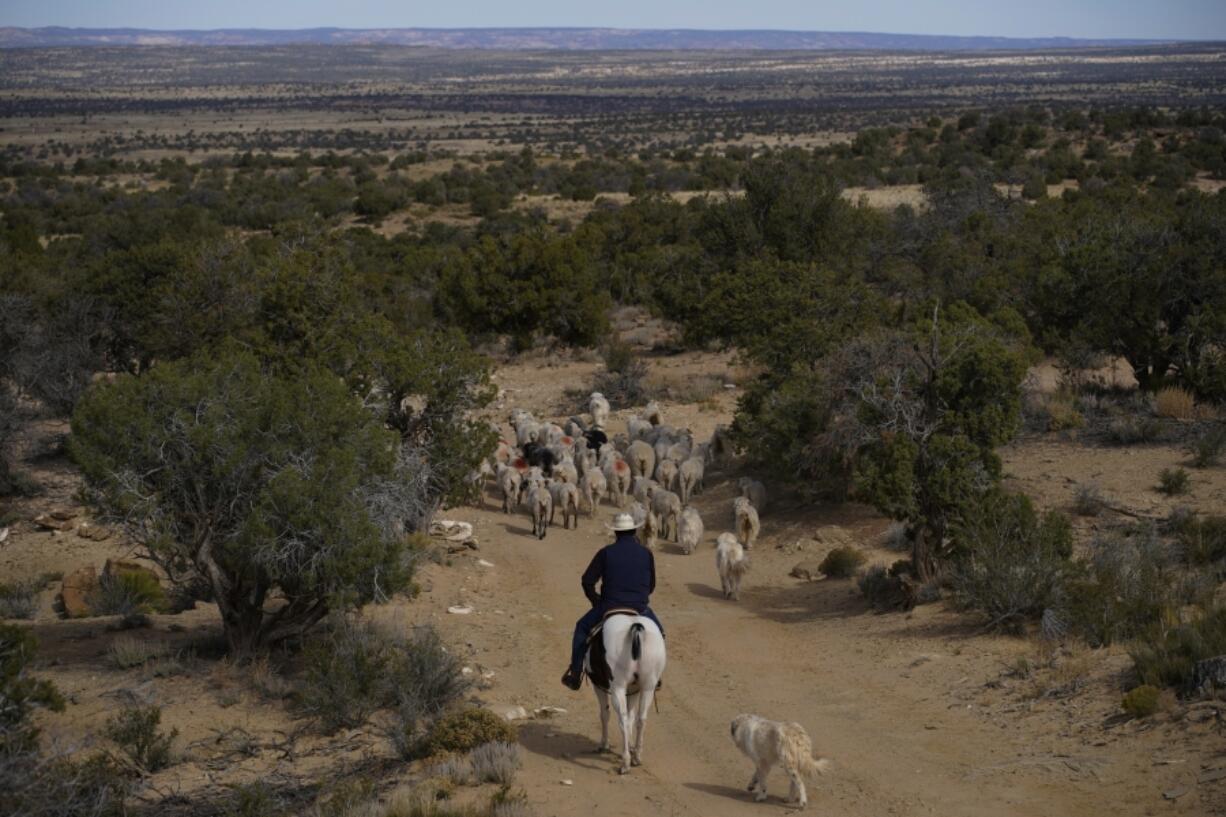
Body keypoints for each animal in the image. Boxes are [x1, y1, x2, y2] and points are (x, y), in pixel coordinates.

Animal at [586, 613, 666, 775]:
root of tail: (635, 627)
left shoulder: (598, 686)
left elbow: (605, 714)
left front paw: (604, 744)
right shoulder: (634, 690)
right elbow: (632, 718)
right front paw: (631, 745)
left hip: (618, 687)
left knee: (622, 719)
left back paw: (626, 763)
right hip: (648, 686)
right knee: (641, 719)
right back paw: (637, 757)